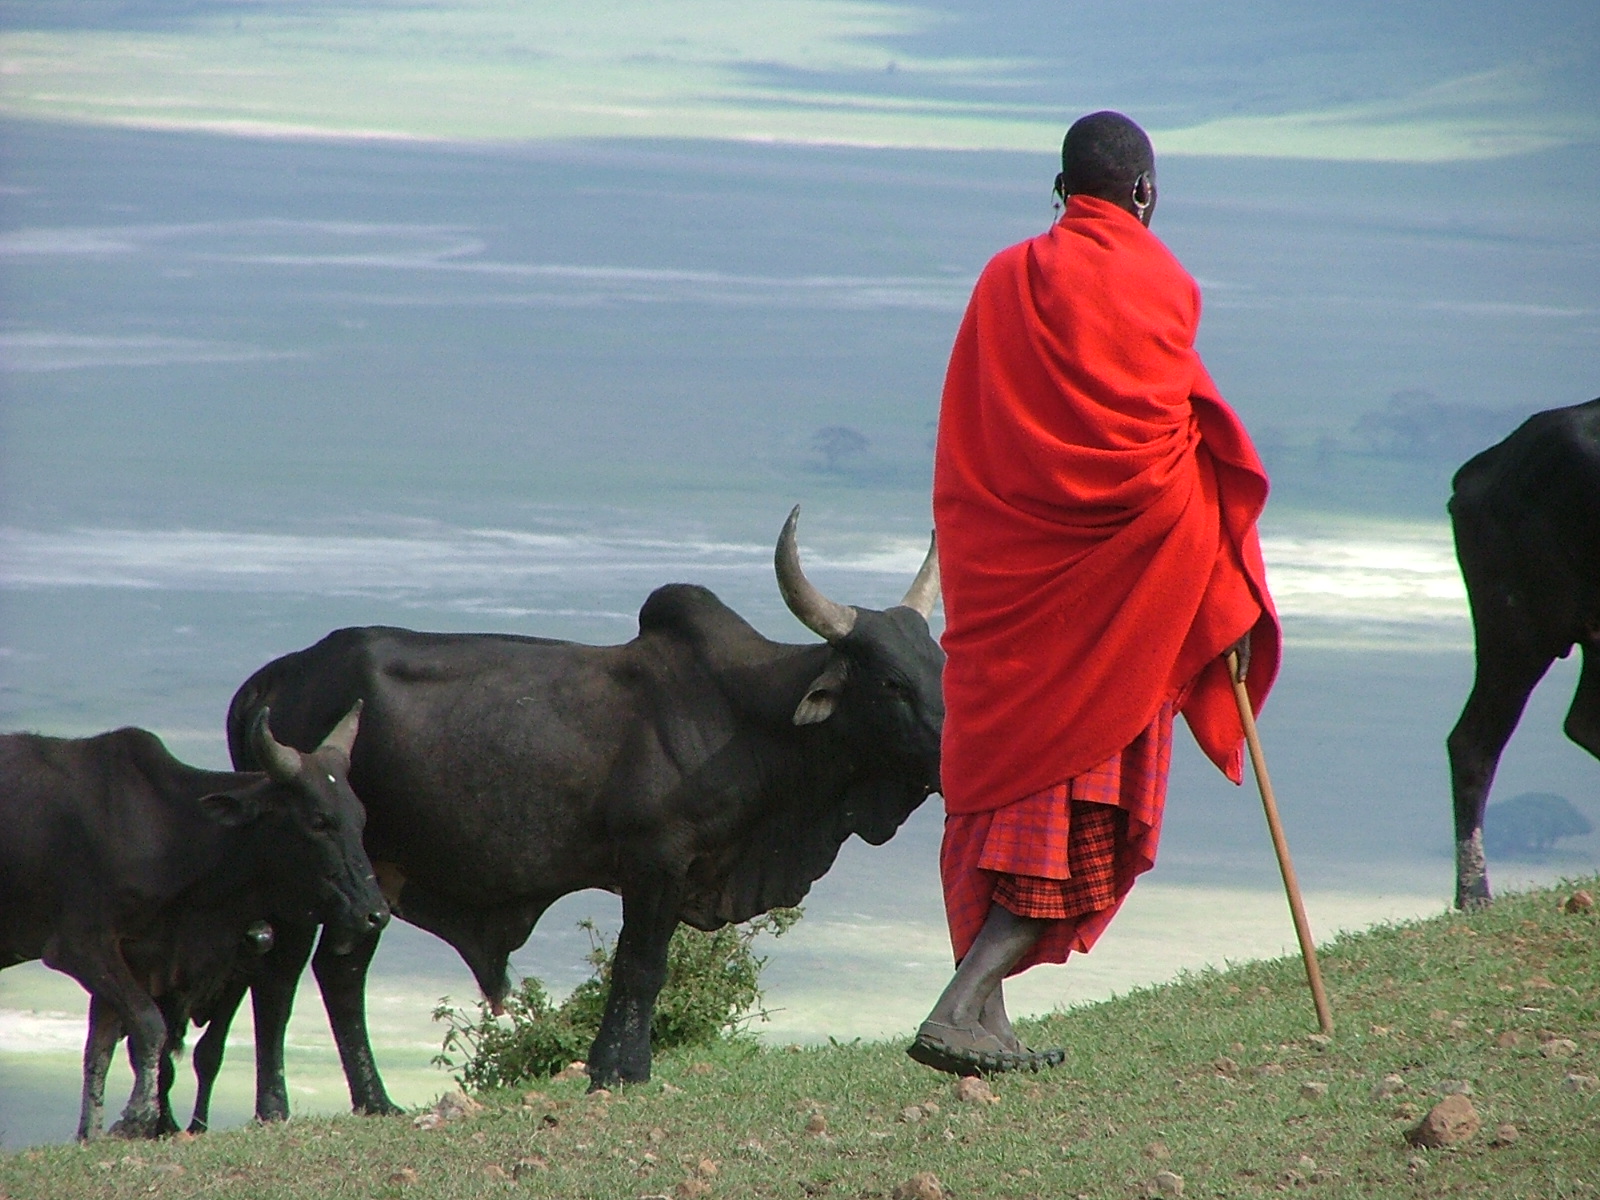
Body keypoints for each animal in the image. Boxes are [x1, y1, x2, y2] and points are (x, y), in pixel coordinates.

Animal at [187, 508, 934, 1120]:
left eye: (938, 661)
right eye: (892, 681)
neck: (743, 712)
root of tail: (274, 678)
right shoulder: (654, 860)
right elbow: (640, 967)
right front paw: (618, 1072)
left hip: (373, 875)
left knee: (339, 974)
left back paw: (377, 1103)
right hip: (305, 873)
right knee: (280, 978)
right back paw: (275, 1109)